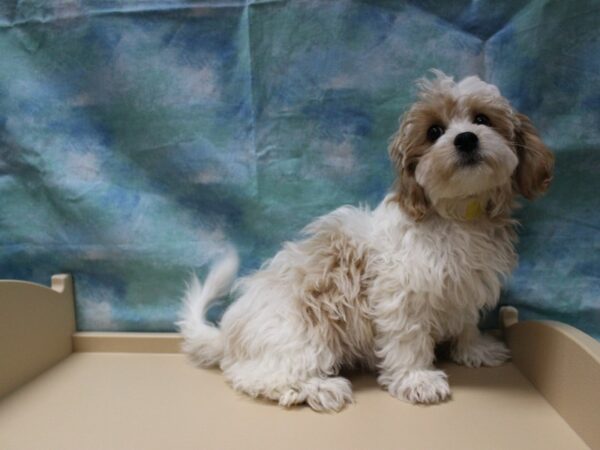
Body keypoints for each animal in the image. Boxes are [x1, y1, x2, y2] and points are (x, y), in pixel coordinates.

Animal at [178, 70, 552, 412]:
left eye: (482, 119)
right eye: (434, 132)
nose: (465, 139)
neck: (457, 214)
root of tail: (228, 335)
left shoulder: (464, 288)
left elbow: (466, 323)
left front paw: (475, 349)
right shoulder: (401, 295)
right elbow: (408, 339)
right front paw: (417, 379)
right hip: (301, 335)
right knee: (255, 375)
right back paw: (316, 388)